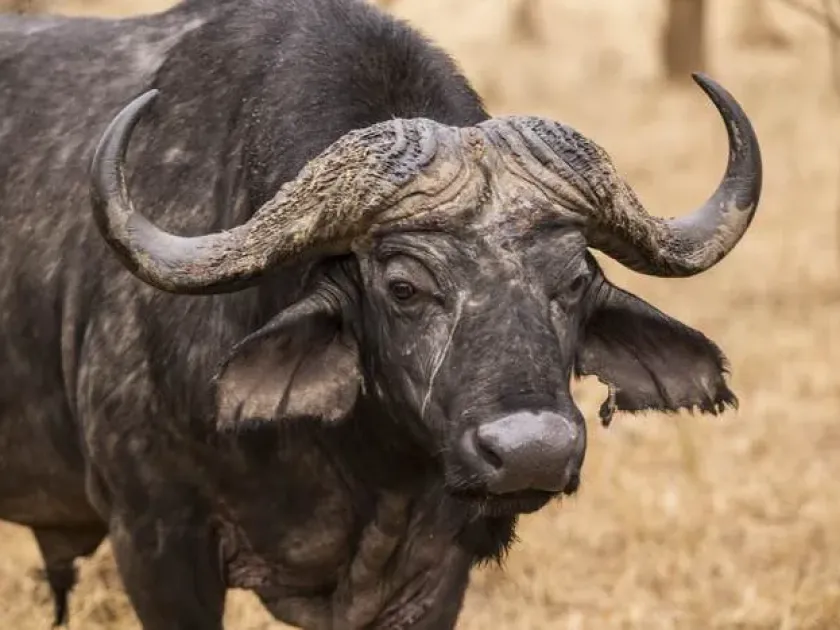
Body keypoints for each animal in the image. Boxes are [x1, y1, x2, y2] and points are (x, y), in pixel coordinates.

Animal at [0, 0, 762, 627]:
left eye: (573, 280)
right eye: (403, 287)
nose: (532, 452)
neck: (359, 467)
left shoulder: (434, 572)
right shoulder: (157, 541)